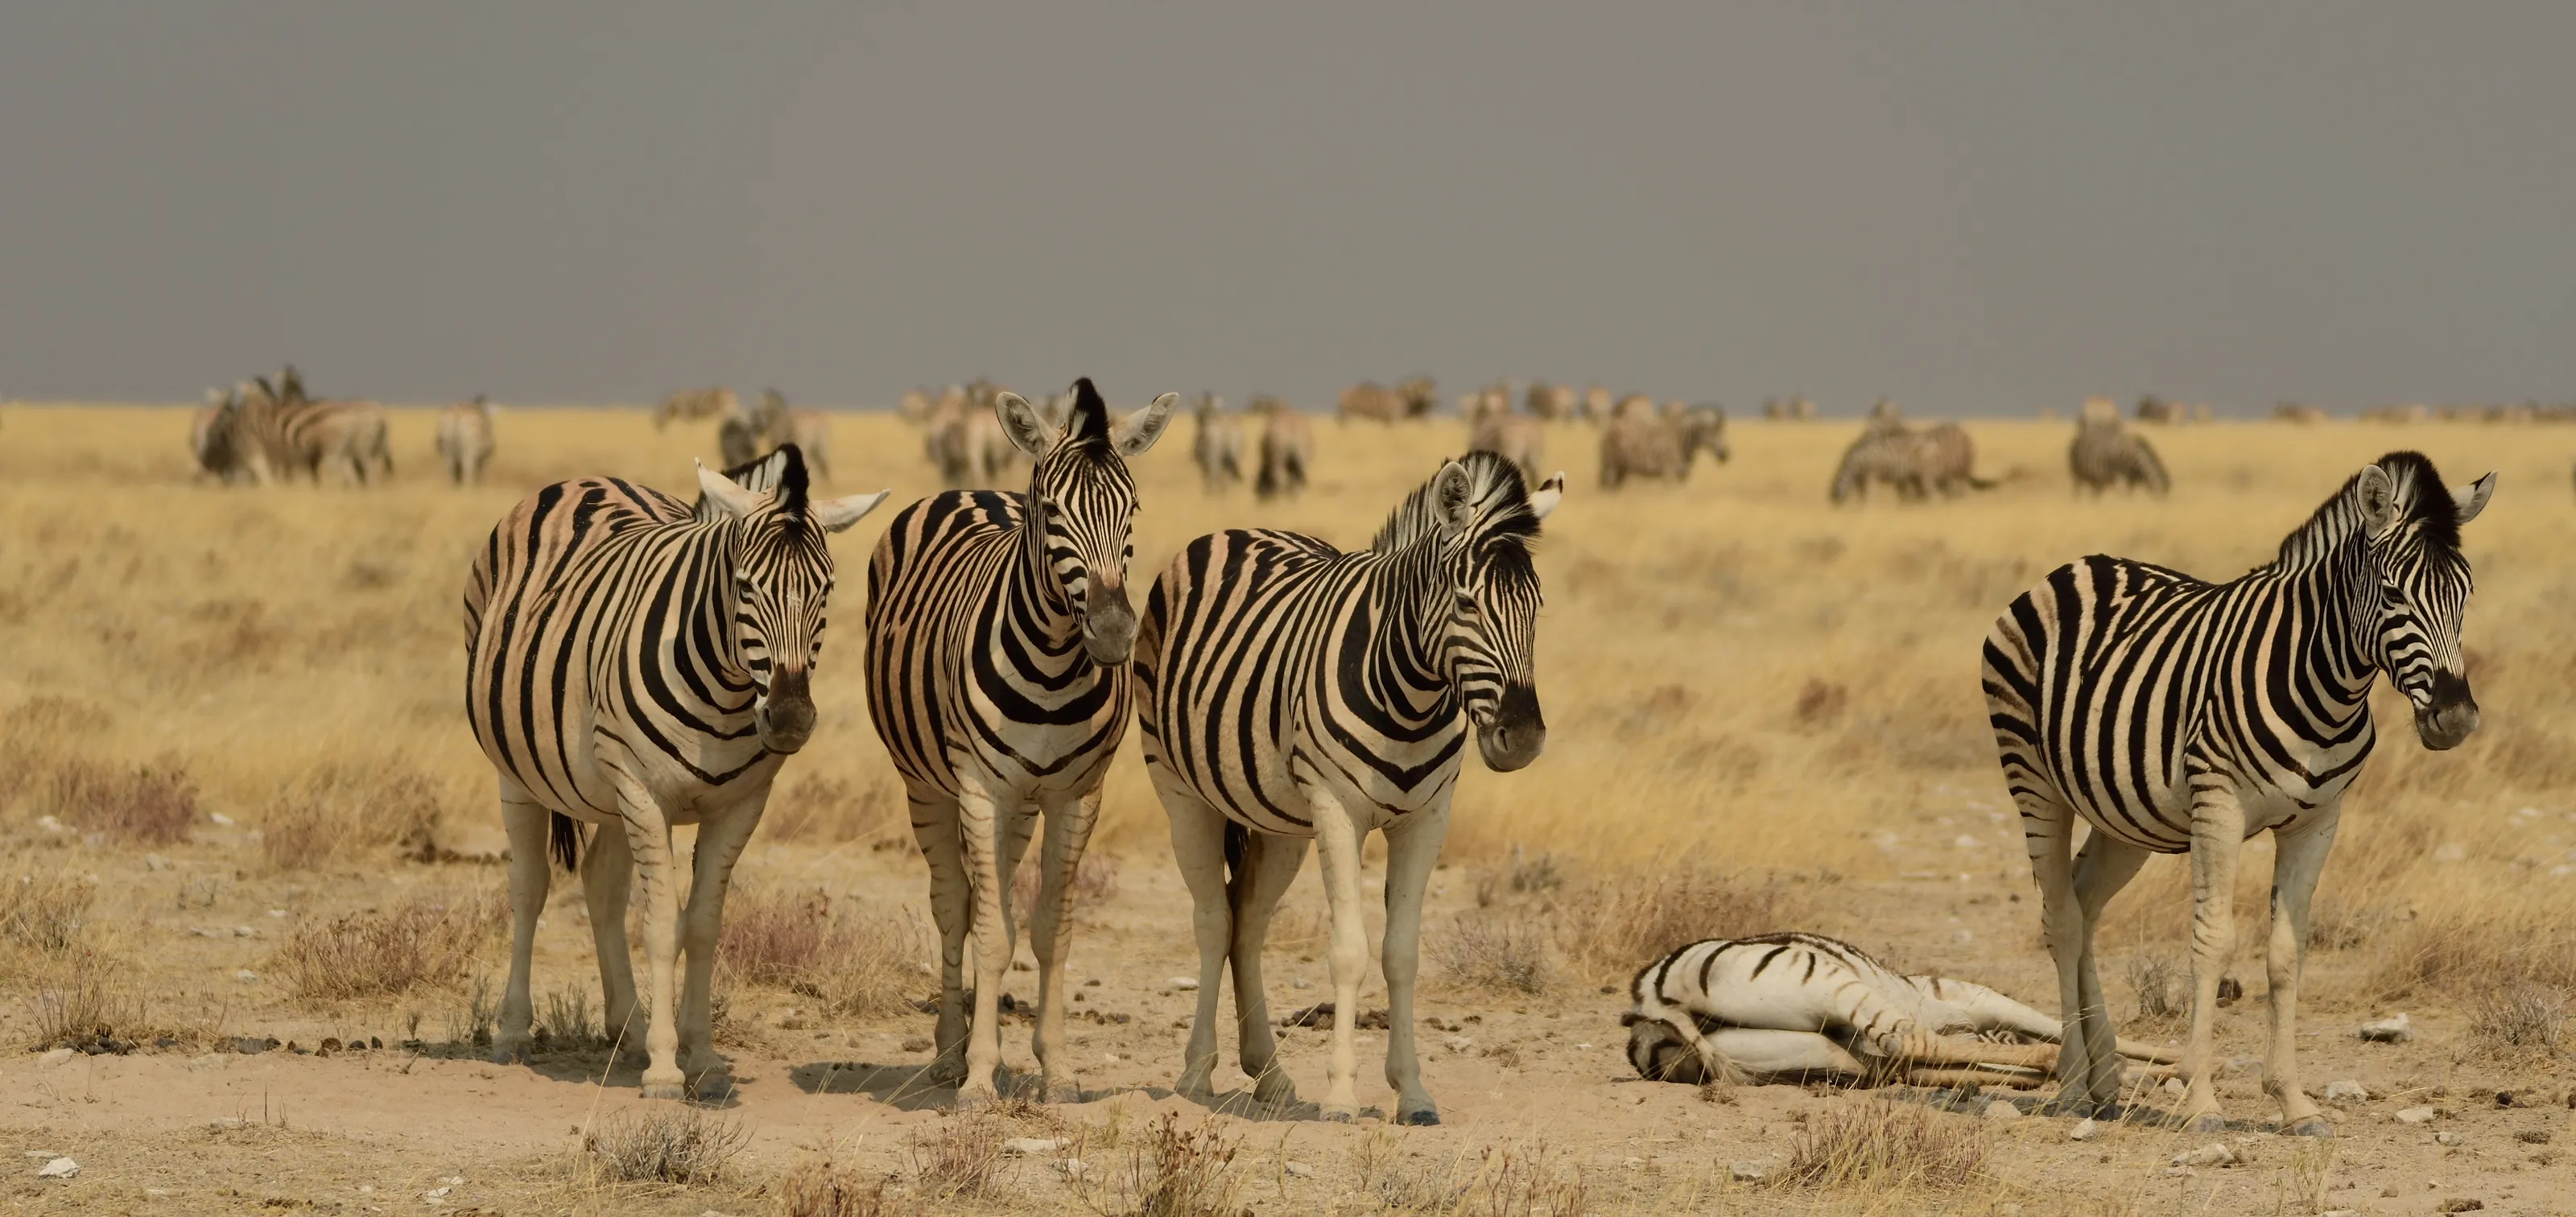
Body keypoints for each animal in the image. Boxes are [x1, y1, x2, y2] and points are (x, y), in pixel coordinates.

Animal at [463, 445, 889, 1098]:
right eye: (744, 586)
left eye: (827, 590)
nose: (790, 719)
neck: (727, 691)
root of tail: (586, 479)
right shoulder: (644, 793)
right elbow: (662, 924)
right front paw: (665, 1068)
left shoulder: (738, 805)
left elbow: (704, 924)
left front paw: (702, 1056)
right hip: (520, 770)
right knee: (529, 885)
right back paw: (513, 1031)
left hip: (607, 787)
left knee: (601, 883)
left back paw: (628, 1026)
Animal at [862, 378, 1176, 1105]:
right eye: (1053, 511)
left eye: (1132, 509)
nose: (1114, 633)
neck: (1054, 665)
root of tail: (969, 487)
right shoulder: (980, 788)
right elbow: (989, 934)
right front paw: (978, 1077)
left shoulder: (1075, 794)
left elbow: (1048, 931)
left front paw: (1054, 1069)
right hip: (926, 784)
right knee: (955, 906)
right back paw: (950, 1054)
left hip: (1022, 804)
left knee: (995, 893)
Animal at [1134, 452, 1564, 1125]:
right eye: (1466, 603)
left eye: (1536, 606)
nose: (1520, 738)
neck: (1411, 698)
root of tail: (1233, 529)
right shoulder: (1337, 808)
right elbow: (1349, 951)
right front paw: (1340, 1095)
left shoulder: (1427, 817)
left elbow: (1401, 953)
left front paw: (1413, 1094)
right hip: (1180, 790)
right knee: (1211, 919)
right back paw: (1199, 1072)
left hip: (1280, 819)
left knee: (1246, 920)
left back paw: (1270, 1074)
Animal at [1623, 932, 2178, 1089]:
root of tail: (1656, 994)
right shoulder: (1975, 998)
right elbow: (2065, 1023)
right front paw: (2168, 1063)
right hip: (1830, 987)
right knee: (1912, 1044)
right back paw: (2052, 1064)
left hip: (1817, 1052)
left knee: (1902, 1062)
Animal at [1982, 450, 2494, 1134]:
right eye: (2392, 594)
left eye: (2465, 594)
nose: (2455, 718)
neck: (2324, 683)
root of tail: (2073, 567)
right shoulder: (2218, 804)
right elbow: (2214, 940)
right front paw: (2201, 1100)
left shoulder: (2319, 821)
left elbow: (2285, 951)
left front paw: (2294, 1101)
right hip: (2033, 778)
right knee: (2061, 918)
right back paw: (2071, 1086)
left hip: (2125, 814)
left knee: (2085, 905)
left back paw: (2106, 1076)